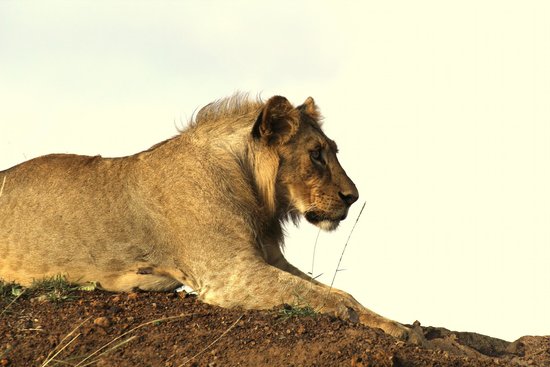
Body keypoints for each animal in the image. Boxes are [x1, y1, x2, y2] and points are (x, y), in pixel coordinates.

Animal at [0, 94, 420, 342]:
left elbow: (333, 291)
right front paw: (399, 330)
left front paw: (397, 322)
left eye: (331, 150)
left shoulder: (265, 259)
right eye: (316, 154)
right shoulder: (230, 276)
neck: (252, 189)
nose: (353, 197)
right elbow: (330, 297)